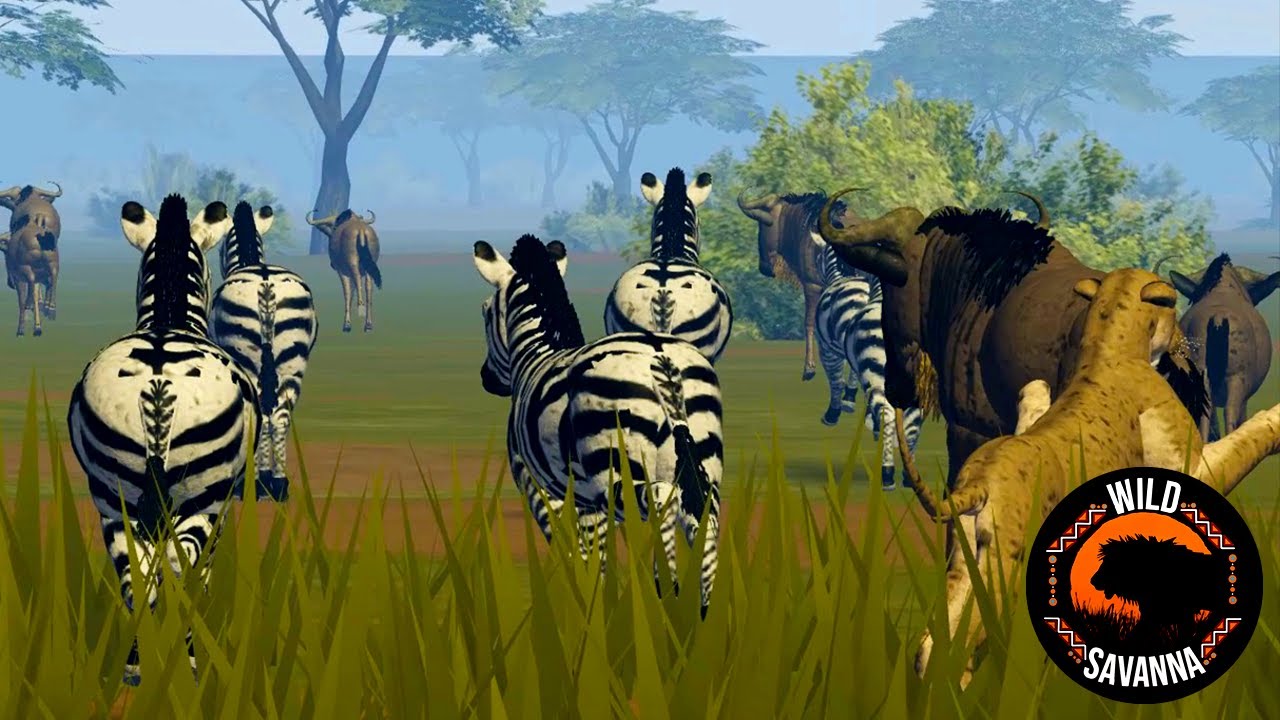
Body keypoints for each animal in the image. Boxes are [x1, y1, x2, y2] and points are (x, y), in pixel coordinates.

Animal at [893, 267, 1280, 687]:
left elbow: (1034, 398)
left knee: (932, 643)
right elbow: (1243, 443)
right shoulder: (1191, 471)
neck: (1108, 342)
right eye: (1172, 306)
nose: (1183, 343)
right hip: (1006, 566)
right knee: (965, 639)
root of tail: (978, 482)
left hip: (965, 563)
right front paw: (1275, 420)